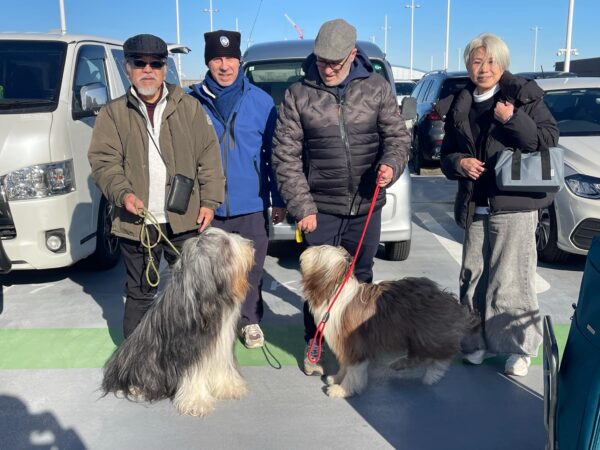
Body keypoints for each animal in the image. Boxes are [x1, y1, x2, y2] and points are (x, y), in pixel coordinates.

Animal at [102, 229, 254, 418]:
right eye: (226, 243)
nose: (251, 244)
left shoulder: (220, 344)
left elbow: (221, 367)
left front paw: (228, 387)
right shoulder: (189, 349)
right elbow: (194, 376)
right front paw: (197, 403)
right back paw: (136, 388)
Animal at [300, 246, 478, 398]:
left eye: (318, 252)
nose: (304, 253)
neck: (335, 292)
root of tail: (446, 296)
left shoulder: (355, 345)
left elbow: (353, 371)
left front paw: (342, 390)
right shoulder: (345, 345)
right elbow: (345, 365)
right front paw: (337, 378)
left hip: (427, 333)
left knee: (443, 353)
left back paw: (433, 374)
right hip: (413, 334)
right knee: (418, 356)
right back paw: (399, 364)